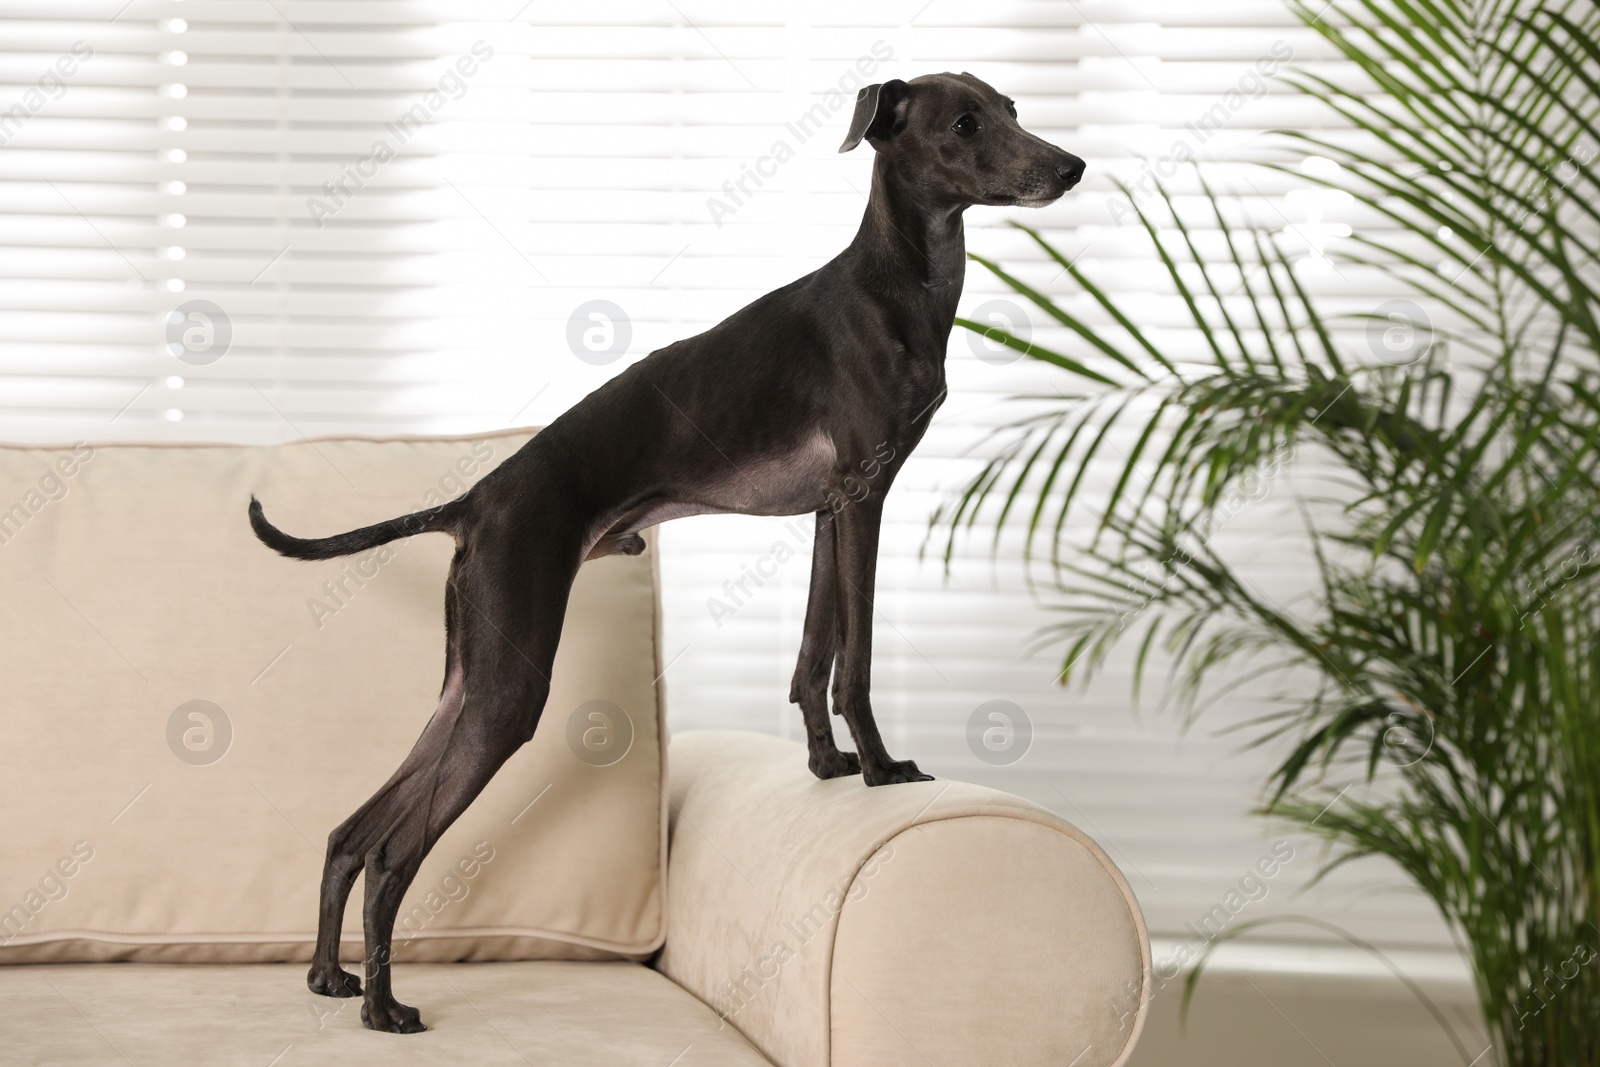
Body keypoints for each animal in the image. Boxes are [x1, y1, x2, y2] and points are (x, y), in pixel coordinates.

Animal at [246, 68, 1075, 1036]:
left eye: (1012, 109)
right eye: (966, 123)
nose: (1071, 167)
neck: (894, 287)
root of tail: (475, 500)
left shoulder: (830, 511)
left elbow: (812, 653)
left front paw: (825, 764)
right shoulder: (865, 497)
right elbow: (857, 658)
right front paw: (878, 768)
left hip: (465, 682)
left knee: (351, 832)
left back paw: (328, 976)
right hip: (509, 689)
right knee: (393, 852)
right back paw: (384, 1007)